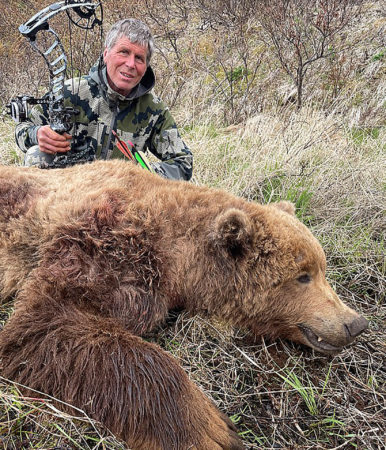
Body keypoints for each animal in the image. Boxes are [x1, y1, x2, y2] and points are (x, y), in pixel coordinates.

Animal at [0, 162, 368, 450]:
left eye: (322, 269)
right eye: (302, 276)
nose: (355, 323)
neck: (174, 249)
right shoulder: (102, 244)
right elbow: (45, 323)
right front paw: (209, 429)